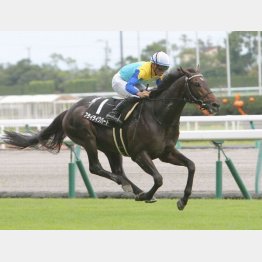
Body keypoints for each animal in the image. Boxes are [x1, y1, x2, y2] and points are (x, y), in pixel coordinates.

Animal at [2, 67, 219, 211]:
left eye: (207, 82)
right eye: (197, 83)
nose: (215, 105)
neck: (159, 116)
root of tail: (69, 110)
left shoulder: (166, 152)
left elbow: (191, 166)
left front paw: (183, 200)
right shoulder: (139, 154)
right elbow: (158, 178)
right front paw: (149, 195)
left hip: (111, 147)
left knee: (117, 170)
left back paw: (135, 190)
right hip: (87, 139)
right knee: (96, 168)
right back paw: (131, 188)